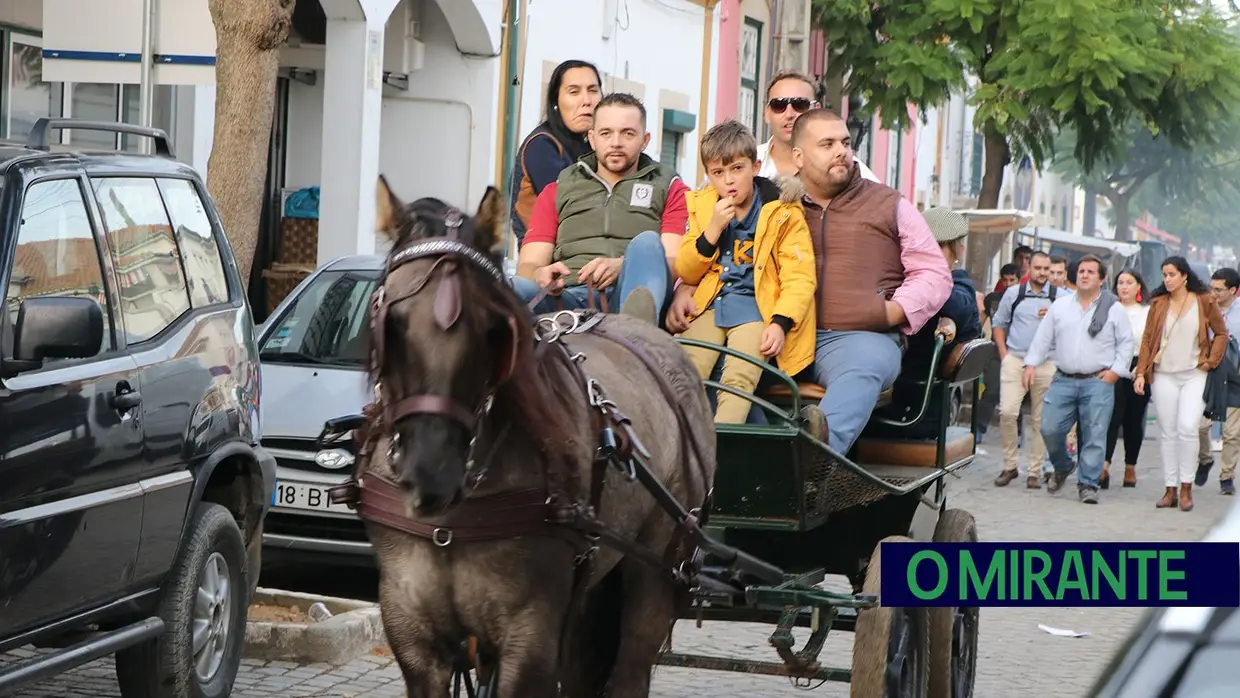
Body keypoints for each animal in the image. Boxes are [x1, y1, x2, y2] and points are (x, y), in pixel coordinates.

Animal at [339, 177, 724, 694]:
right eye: (389, 323)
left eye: (493, 330)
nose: (429, 472)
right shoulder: (412, 632)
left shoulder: (531, 634)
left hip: (656, 570)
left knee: (631, 666)